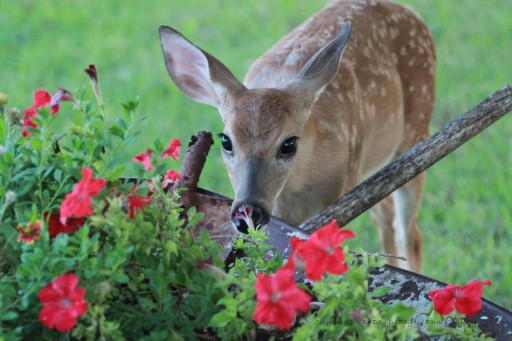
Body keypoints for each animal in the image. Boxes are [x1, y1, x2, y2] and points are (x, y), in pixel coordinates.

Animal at [157, 0, 436, 270]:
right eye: (226, 141)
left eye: (288, 144)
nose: (248, 212)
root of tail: (410, 12)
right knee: (388, 220)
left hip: (415, 131)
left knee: (411, 234)